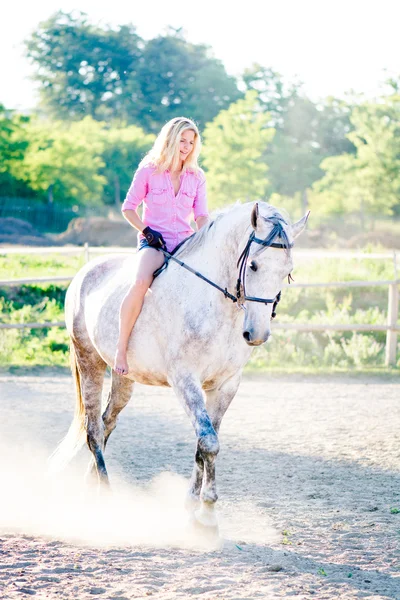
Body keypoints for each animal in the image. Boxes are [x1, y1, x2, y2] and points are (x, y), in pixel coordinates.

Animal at [49, 200, 306, 528]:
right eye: (253, 266)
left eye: (288, 272)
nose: (257, 334)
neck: (213, 304)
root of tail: (85, 272)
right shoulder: (185, 381)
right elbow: (209, 442)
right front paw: (207, 512)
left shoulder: (226, 385)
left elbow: (204, 443)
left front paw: (194, 504)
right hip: (89, 360)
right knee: (92, 428)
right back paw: (105, 494)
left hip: (124, 377)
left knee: (108, 421)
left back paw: (90, 482)